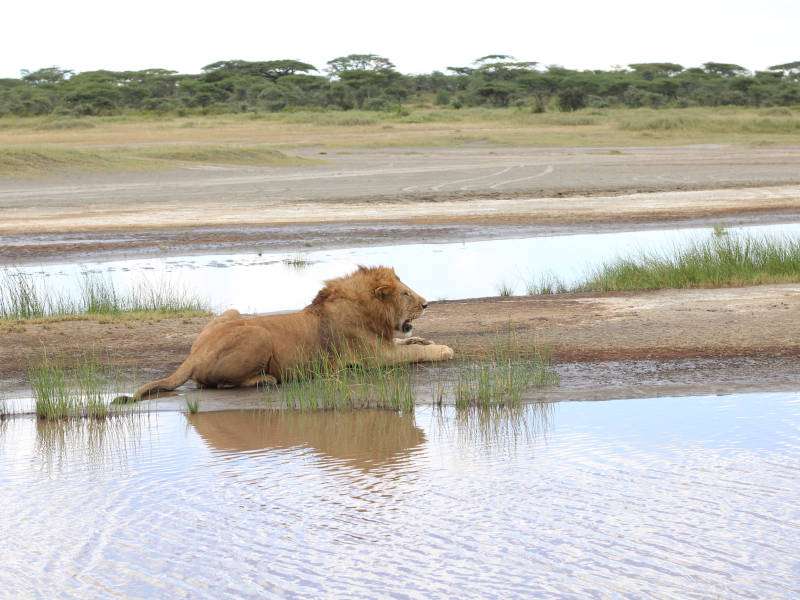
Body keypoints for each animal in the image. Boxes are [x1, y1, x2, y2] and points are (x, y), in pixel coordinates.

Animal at [119, 264, 456, 400]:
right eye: (405, 294)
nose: (426, 304)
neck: (369, 310)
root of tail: (194, 354)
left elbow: (410, 341)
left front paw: (424, 337)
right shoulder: (373, 358)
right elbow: (415, 352)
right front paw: (442, 349)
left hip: (232, 313)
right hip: (259, 334)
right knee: (219, 385)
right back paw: (265, 379)